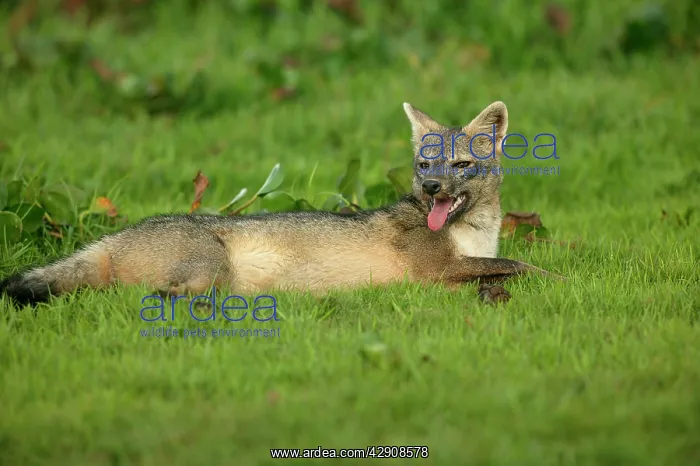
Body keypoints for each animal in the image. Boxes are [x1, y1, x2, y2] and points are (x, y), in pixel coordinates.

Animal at [1, 101, 558, 307]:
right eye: (425, 166)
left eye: (459, 166)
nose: (432, 192)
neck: (473, 232)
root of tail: (113, 236)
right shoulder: (436, 272)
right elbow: (521, 264)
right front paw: (564, 277)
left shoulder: (461, 267)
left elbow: (506, 266)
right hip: (212, 272)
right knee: (158, 298)